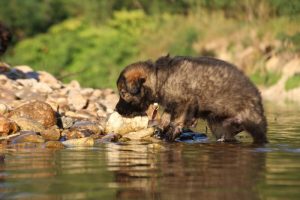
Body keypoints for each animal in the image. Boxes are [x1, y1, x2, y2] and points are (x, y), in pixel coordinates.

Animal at [116, 55, 268, 144]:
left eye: (123, 93)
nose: (117, 109)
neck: (160, 78)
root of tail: (257, 95)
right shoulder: (172, 105)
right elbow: (166, 116)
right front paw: (161, 129)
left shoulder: (185, 102)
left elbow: (176, 121)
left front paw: (169, 135)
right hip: (218, 126)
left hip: (253, 122)